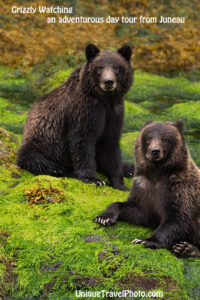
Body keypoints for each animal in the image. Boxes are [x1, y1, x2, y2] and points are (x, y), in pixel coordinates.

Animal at [17, 44, 134, 190]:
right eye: (99, 67)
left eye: (116, 67)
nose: (108, 82)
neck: (105, 99)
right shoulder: (83, 112)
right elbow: (82, 143)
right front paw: (93, 179)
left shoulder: (114, 113)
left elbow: (110, 144)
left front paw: (120, 183)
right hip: (40, 142)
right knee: (36, 159)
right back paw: (60, 169)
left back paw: (129, 167)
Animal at [94, 119, 200, 258]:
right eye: (148, 137)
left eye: (164, 138)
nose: (155, 151)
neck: (157, 173)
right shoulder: (144, 187)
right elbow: (138, 210)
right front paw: (104, 217)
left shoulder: (178, 189)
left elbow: (177, 218)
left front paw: (144, 240)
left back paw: (186, 248)